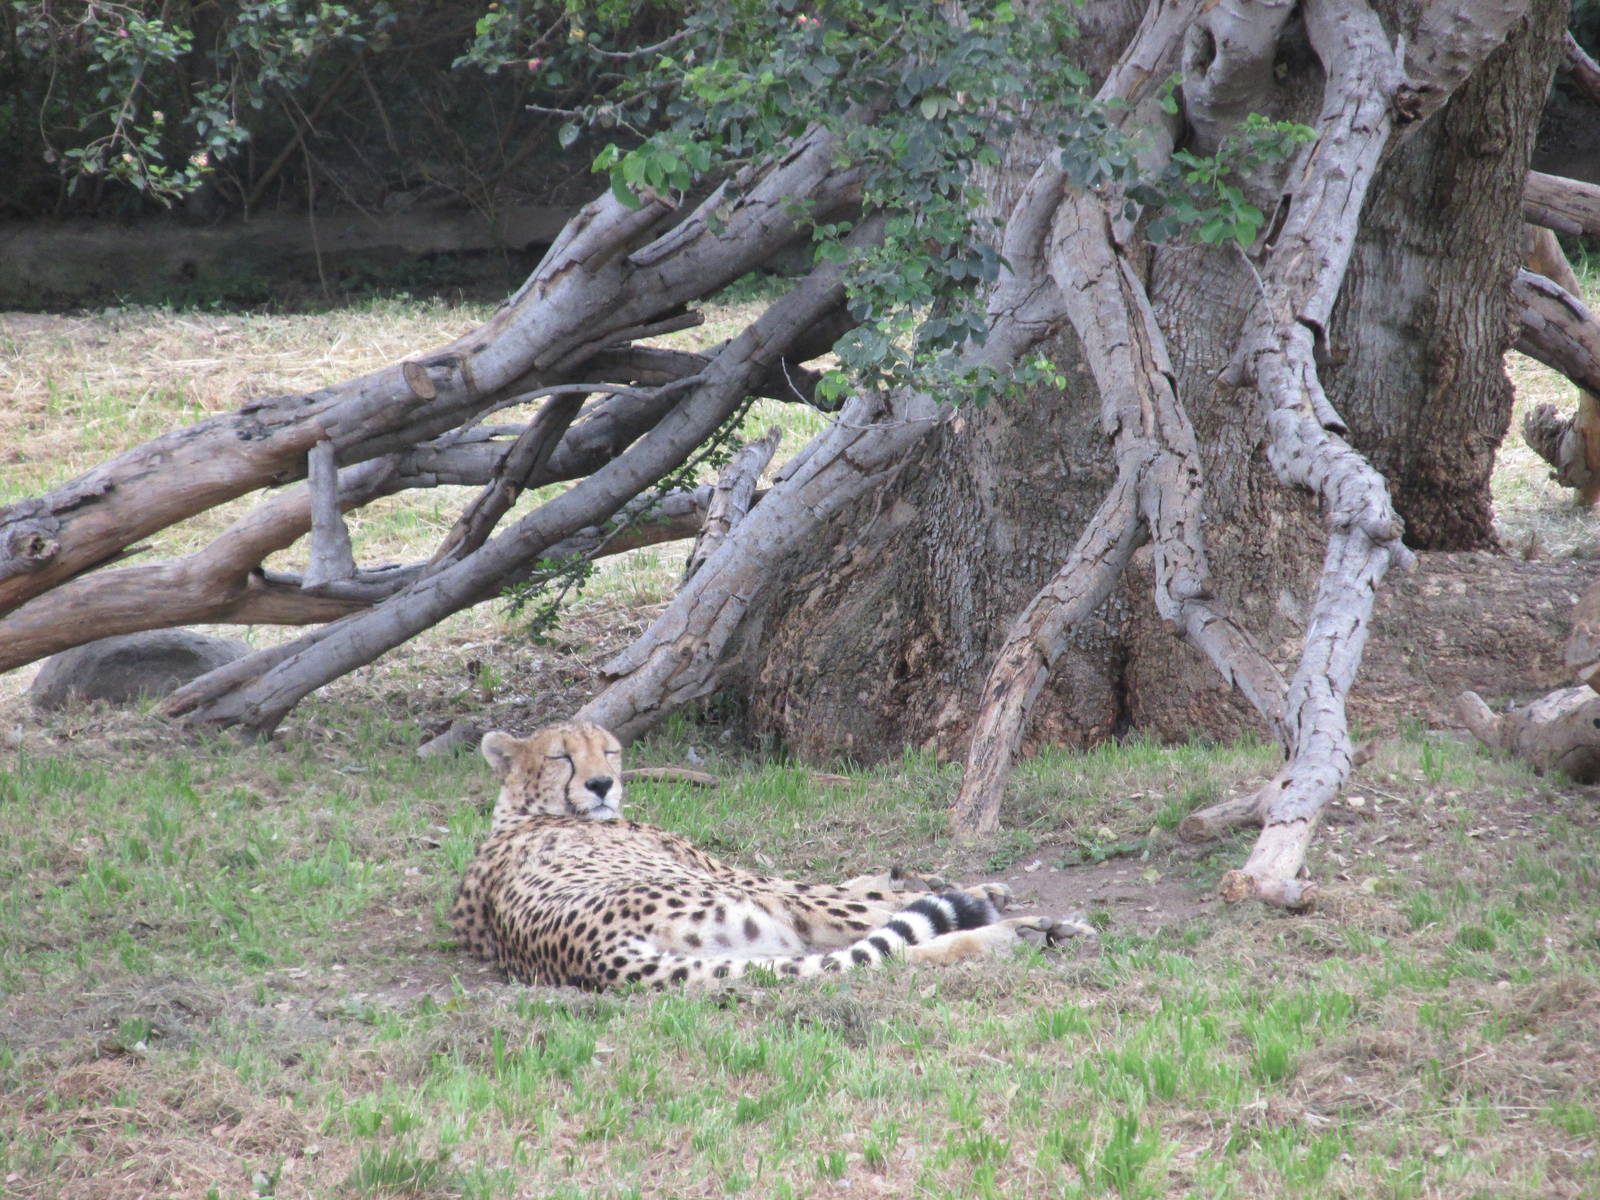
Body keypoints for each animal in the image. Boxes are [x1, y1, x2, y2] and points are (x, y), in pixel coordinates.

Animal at [448, 720, 1086, 989]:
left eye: (608, 750)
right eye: (561, 757)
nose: (602, 784)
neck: (524, 811)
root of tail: (595, 953)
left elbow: (858, 881)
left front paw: (914, 874)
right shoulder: (744, 878)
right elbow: (846, 890)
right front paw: (971, 888)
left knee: (868, 956)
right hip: (750, 906)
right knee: (869, 943)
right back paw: (1029, 928)